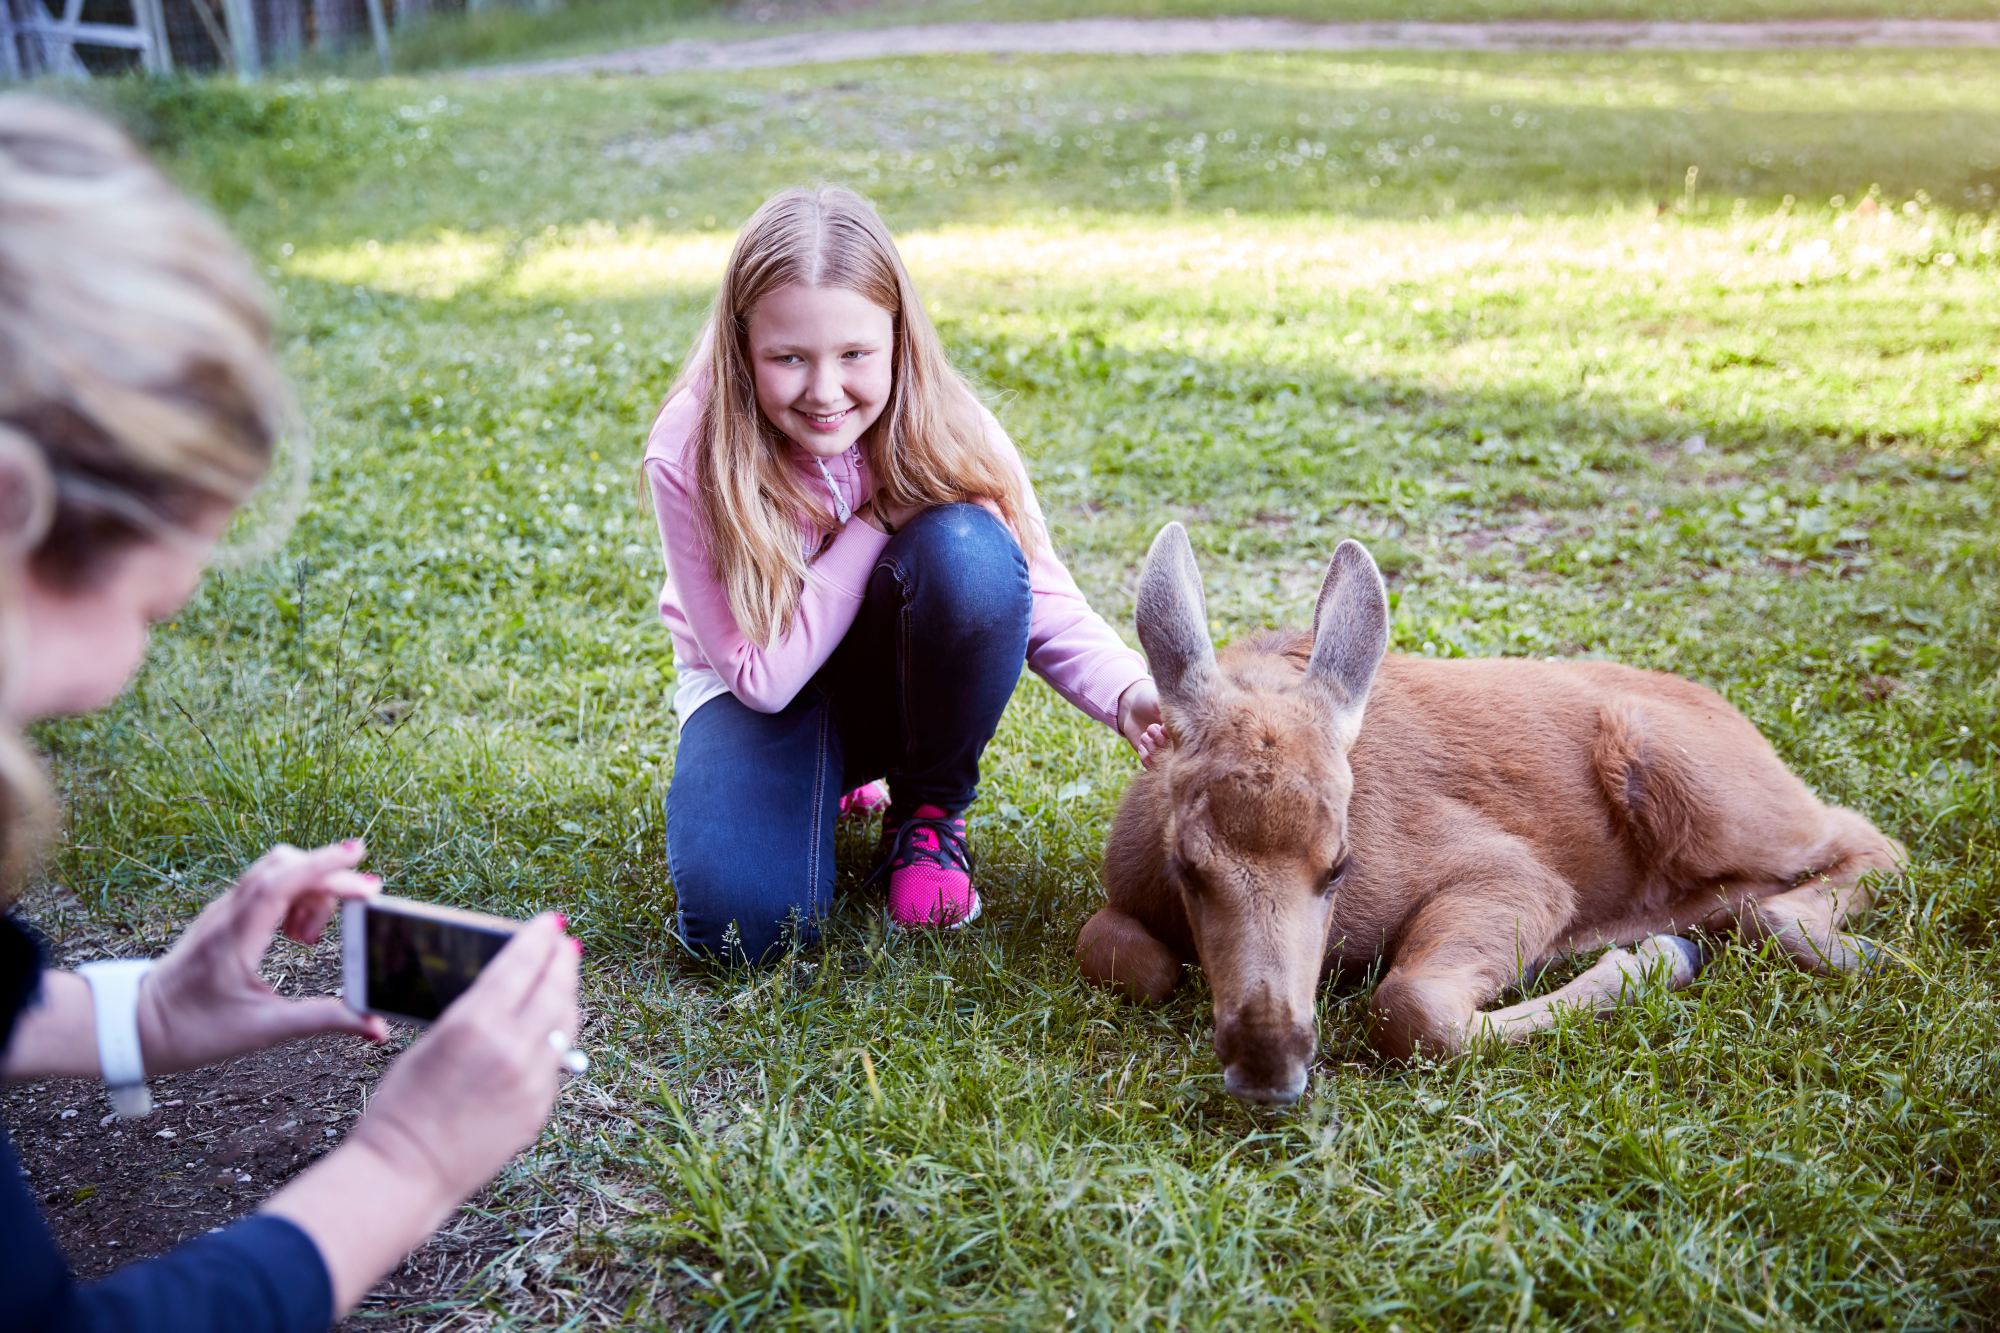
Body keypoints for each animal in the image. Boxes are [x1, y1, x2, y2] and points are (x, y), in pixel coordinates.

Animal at [1080, 528, 1904, 1096]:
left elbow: (1412, 1007)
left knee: (1869, 838)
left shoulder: (1517, 874)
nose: (1268, 1059)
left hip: (1694, 786)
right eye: (1186, 865)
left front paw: (1647, 966)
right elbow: (1117, 949)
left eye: (1340, 865)